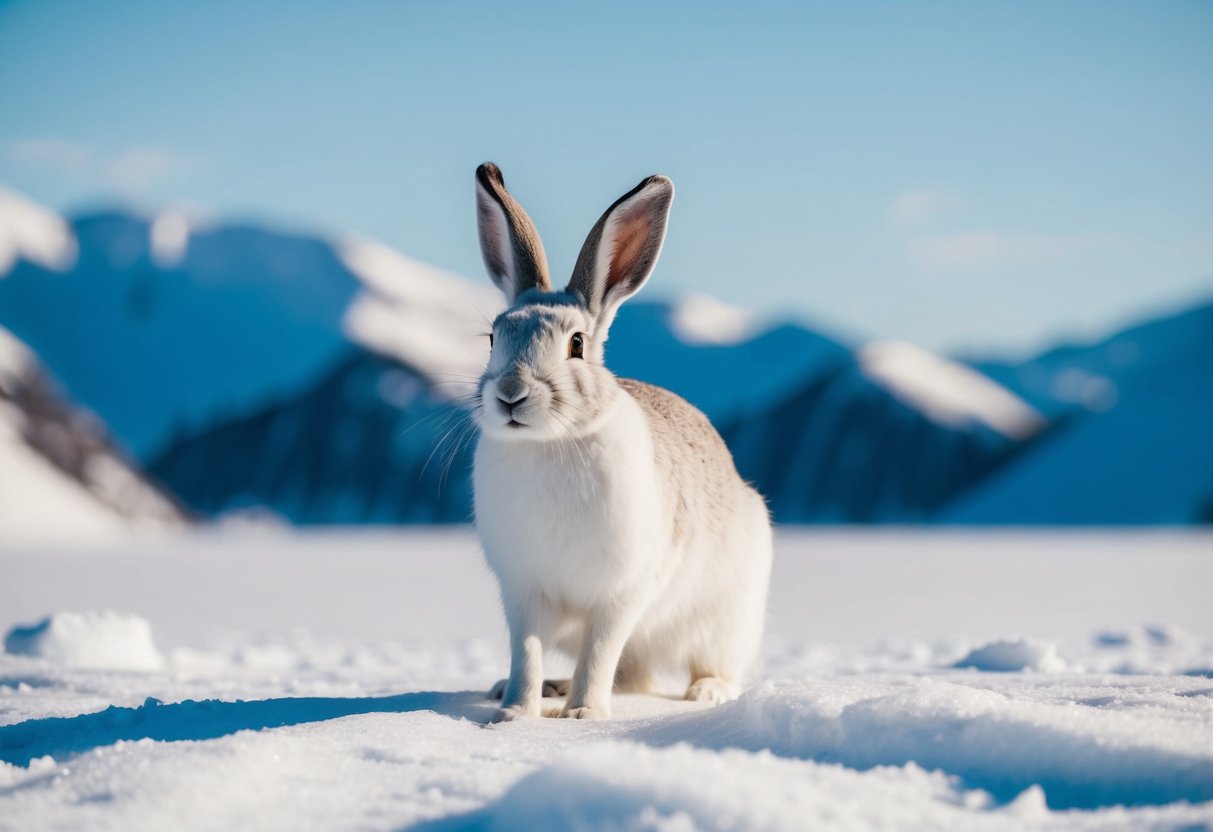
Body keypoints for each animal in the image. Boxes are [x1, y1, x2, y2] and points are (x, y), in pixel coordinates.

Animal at [471, 162, 773, 722]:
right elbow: (527, 652)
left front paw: (584, 715)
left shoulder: (621, 593)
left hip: (725, 616)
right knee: (632, 674)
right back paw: (541, 690)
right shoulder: (523, 592)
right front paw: (516, 712)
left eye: (576, 344)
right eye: (493, 338)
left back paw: (707, 692)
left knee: (693, 664)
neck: (550, 442)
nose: (510, 394)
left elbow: (601, 651)